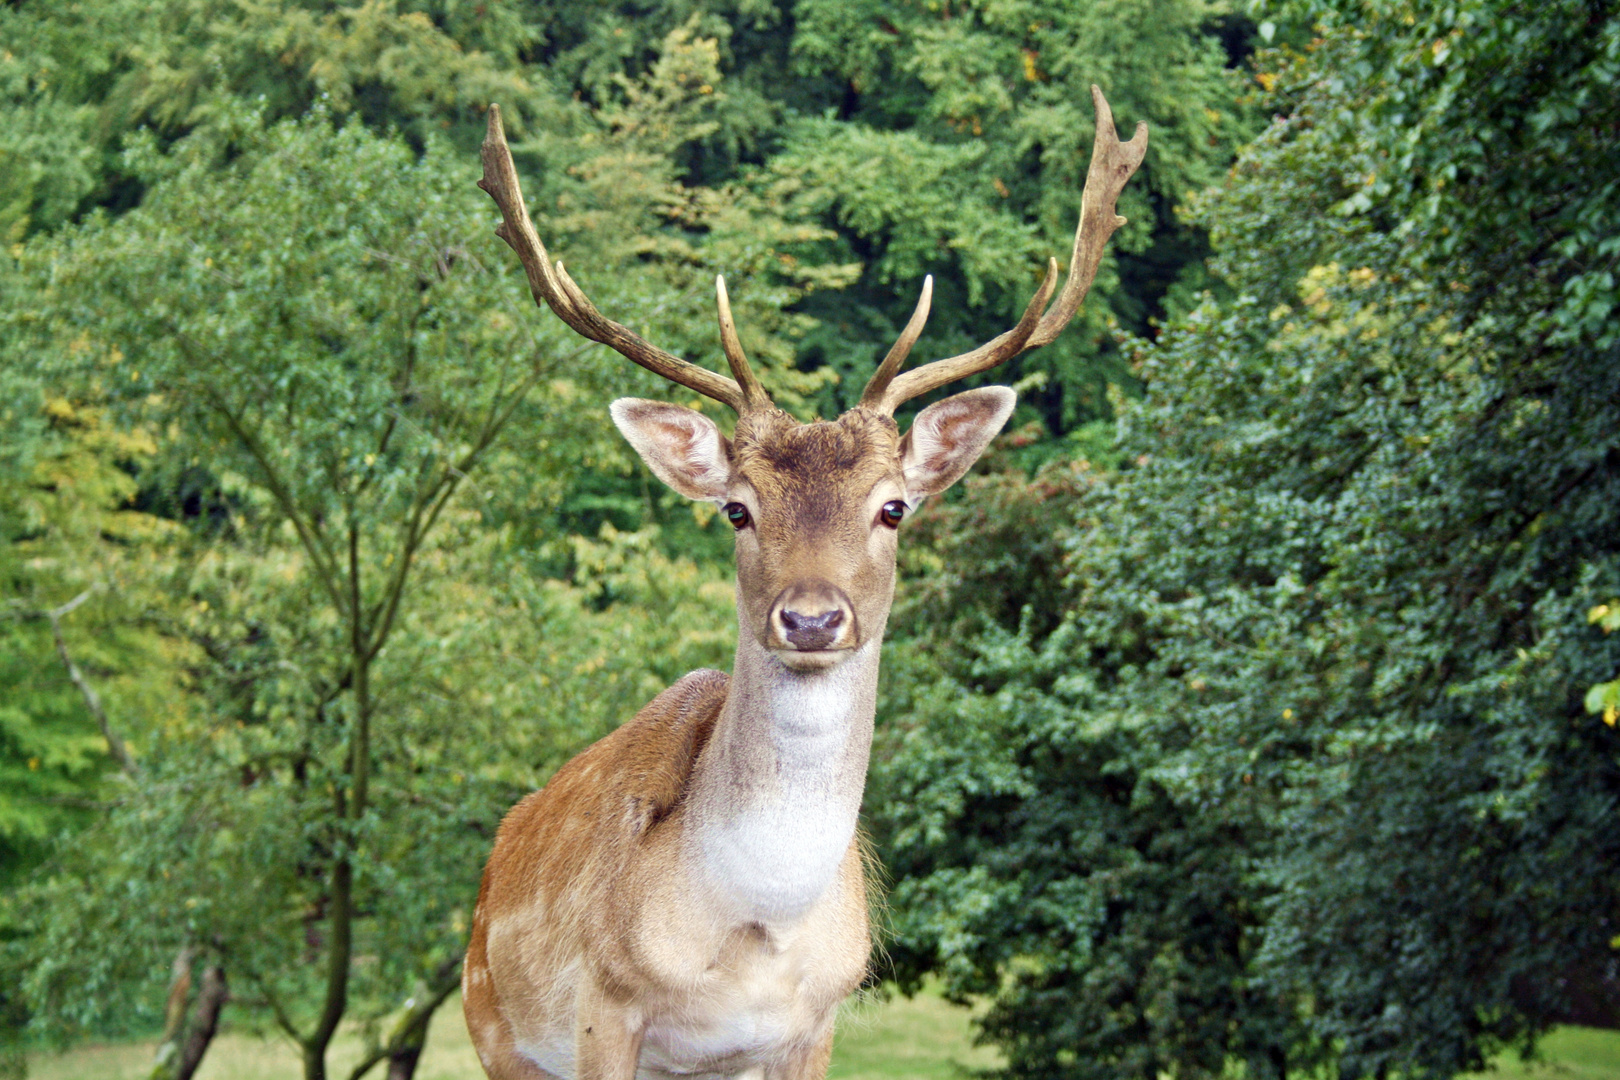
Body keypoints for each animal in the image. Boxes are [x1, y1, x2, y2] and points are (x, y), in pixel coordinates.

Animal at [463, 86, 1146, 1080]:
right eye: (735, 511)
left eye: (894, 507)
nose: (814, 618)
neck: (757, 928)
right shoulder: (603, 1006)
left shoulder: (817, 1019)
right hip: (496, 1029)